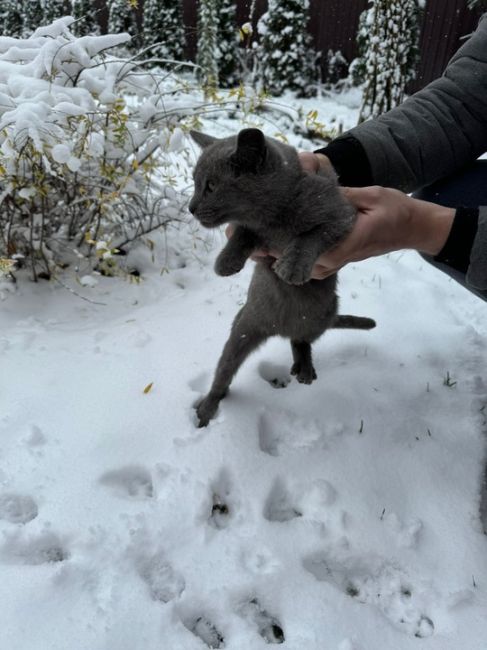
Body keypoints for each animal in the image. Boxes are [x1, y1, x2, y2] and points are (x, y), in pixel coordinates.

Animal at [189, 128, 376, 428]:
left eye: (211, 186)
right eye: (195, 183)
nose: (191, 207)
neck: (275, 219)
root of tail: (281, 328)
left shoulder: (342, 215)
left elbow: (313, 234)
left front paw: (293, 266)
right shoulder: (255, 230)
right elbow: (243, 233)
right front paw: (226, 262)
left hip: (322, 314)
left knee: (303, 340)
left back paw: (305, 368)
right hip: (244, 326)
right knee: (225, 373)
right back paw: (207, 408)